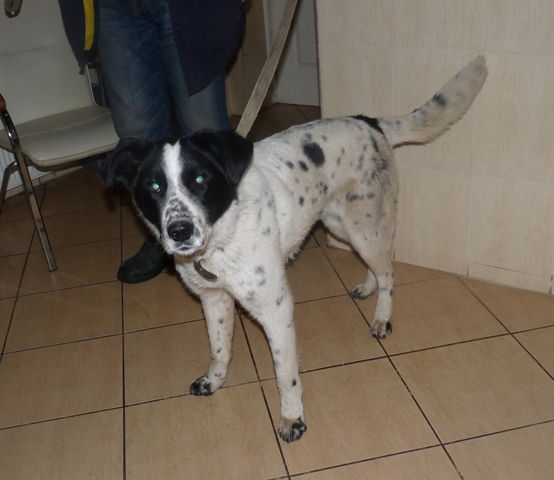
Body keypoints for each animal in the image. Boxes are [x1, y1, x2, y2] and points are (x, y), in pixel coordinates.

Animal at [105, 56, 487, 442]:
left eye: (199, 180)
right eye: (153, 187)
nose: (179, 231)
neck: (222, 235)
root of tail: (370, 122)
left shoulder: (276, 309)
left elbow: (285, 375)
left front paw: (292, 418)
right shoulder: (213, 300)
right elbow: (219, 348)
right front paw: (215, 380)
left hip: (365, 228)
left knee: (389, 270)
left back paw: (382, 317)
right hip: (341, 226)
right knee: (377, 267)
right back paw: (368, 287)